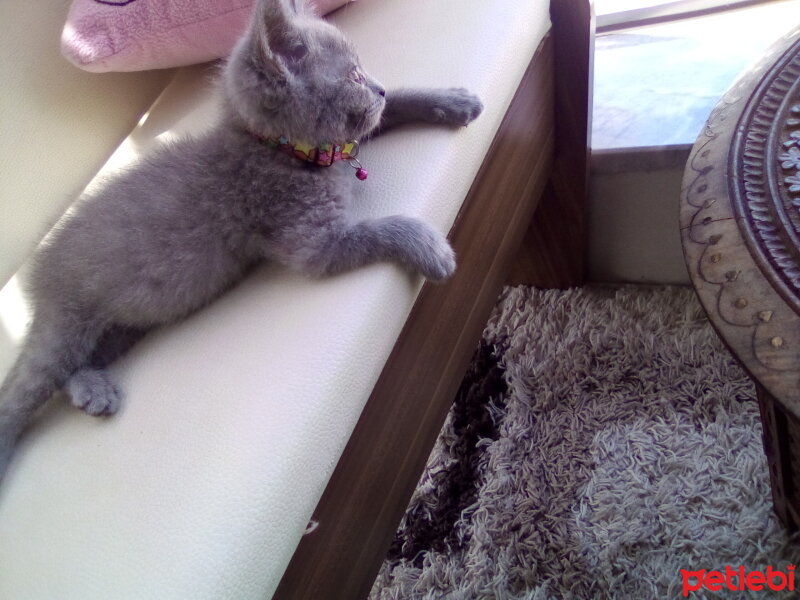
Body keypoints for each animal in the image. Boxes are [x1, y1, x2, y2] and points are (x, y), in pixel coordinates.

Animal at [0, 0, 482, 478]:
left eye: (365, 70)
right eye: (354, 76)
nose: (378, 88)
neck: (285, 150)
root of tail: (37, 270)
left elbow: (396, 109)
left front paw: (452, 100)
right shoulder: (314, 244)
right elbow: (380, 229)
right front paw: (431, 247)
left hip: (126, 324)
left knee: (75, 367)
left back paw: (91, 389)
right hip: (67, 321)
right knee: (26, 386)